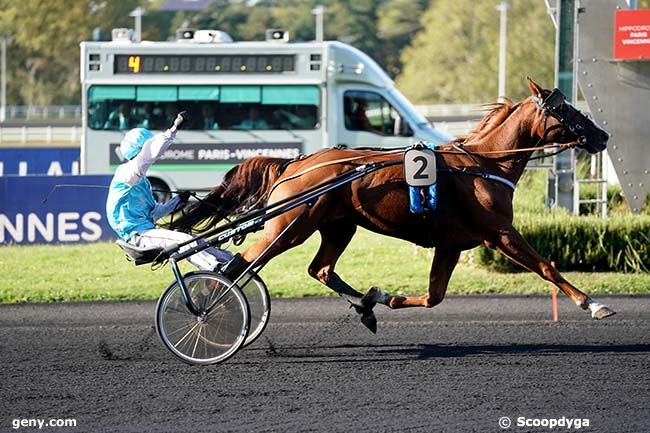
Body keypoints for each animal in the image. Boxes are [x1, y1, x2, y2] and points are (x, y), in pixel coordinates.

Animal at [168, 80, 612, 330]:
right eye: (565, 109)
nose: (602, 135)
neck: (484, 164)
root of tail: (295, 163)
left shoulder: (451, 244)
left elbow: (434, 297)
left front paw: (382, 298)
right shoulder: (499, 233)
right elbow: (546, 266)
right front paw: (593, 304)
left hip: (338, 225)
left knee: (320, 269)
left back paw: (364, 307)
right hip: (289, 226)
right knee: (237, 267)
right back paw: (206, 312)